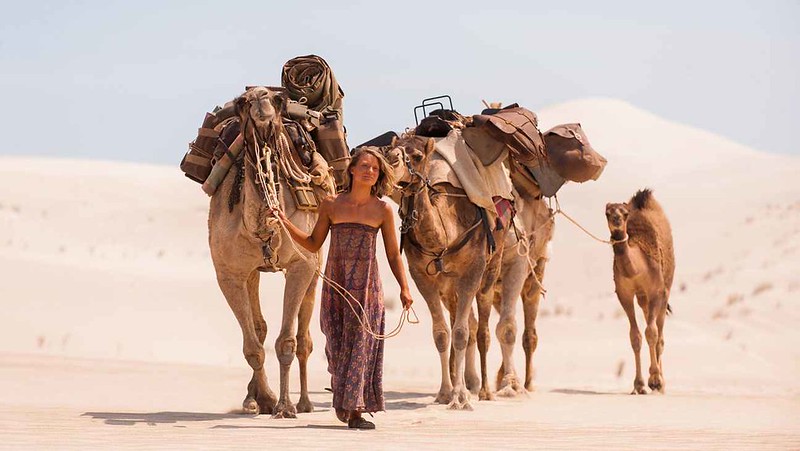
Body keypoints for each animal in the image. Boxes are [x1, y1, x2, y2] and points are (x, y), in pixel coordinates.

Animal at [208, 86, 348, 418]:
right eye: (243, 103)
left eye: (277, 100)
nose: (261, 98)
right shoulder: (229, 273)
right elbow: (253, 346)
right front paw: (266, 399)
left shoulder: (301, 264)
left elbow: (286, 341)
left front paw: (285, 406)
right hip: (253, 272)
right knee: (259, 328)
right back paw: (253, 398)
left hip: (316, 261)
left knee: (304, 337)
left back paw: (305, 402)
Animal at [382, 135, 506, 410]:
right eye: (389, 150)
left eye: (417, 156)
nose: (391, 161)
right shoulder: (422, 276)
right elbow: (441, 334)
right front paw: (445, 393)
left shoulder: (472, 271)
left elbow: (461, 333)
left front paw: (461, 398)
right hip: (449, 287)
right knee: (465, 322)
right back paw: (470, 383)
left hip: (491, 268)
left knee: (481, 329)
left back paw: (485, 390)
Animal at [608, 189, 676, 394]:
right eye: (607, 212)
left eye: (624, 213)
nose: (616, 219)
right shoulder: (625, 294)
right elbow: (635, 336)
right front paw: (638, 385)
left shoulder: (656, 291)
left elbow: (652, 333)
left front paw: (655, 380)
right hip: (642, 298)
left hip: (665, 289)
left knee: (659, 335)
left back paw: (661, 384)